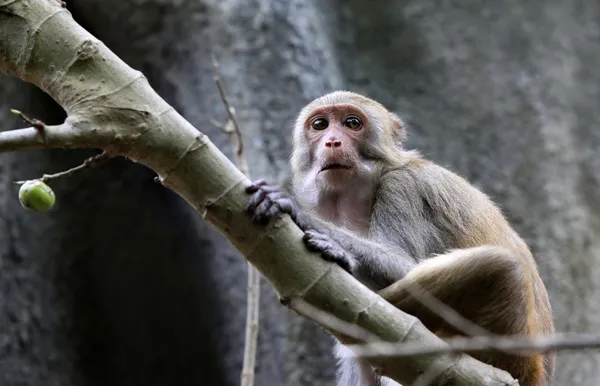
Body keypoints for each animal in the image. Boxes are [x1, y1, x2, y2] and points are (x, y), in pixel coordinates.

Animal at [246, 91, 556, 386]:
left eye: (352, 123)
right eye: (320, 125)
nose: (332, 142)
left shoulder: (402, 188)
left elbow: (402, 265)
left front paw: (297, 212)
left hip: (510, 355)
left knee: (500, 266)